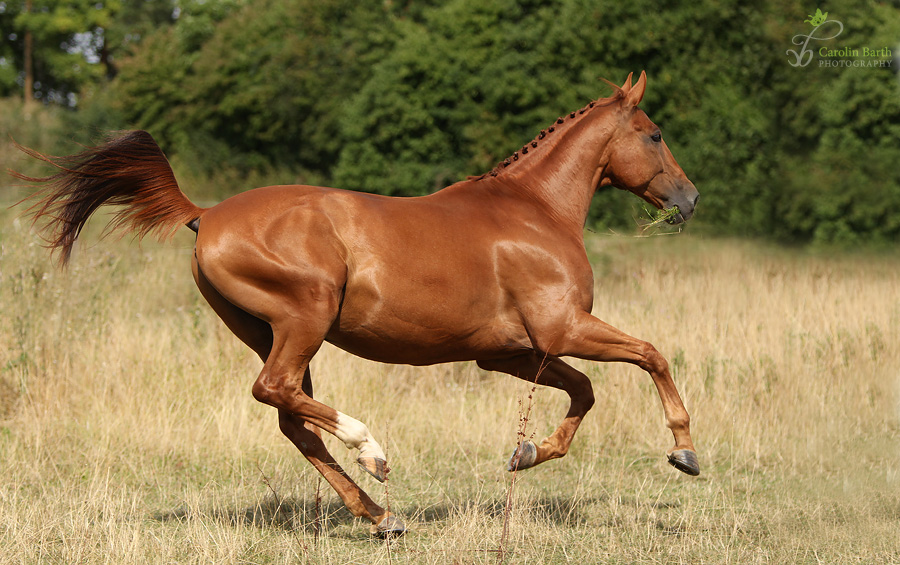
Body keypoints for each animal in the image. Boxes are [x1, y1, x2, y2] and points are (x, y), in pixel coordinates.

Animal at [15, 72, 704, 536]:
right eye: (655, 134)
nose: (689, 199)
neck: (533, 212)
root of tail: (204, 214)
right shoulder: (562, 329)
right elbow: (652, 355)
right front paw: (685, 452)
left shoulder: (512, 352)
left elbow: (584, 391)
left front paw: (528, 453)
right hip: (305, 319)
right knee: (277, 394)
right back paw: (371, 452)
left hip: (270, 332)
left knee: (293, 419)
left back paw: (379, 517)